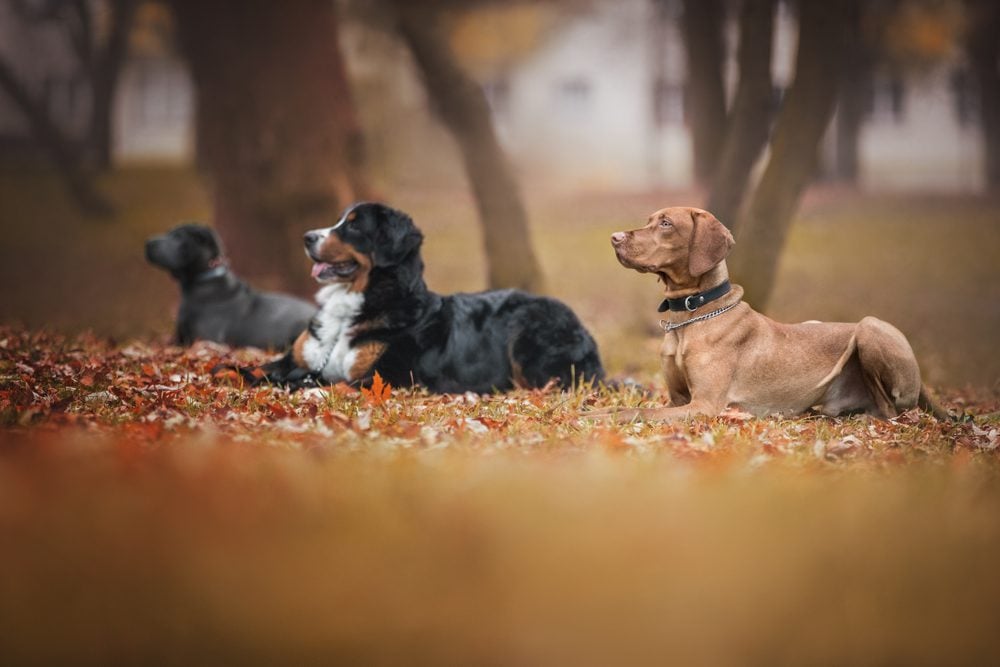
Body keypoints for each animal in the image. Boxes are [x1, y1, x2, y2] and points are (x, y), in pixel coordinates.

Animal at [254, 201, 604, 394]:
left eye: (353, 227)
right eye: (339, 221)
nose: (307, 237)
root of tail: (583, 326)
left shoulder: (386, 376)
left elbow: (324, 383)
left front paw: (300, 388)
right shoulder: (295, 358)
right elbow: (251, 369)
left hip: (528, 334)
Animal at [596, 206, 948, 420]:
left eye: (666, 224)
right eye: (650, 220)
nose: (614, 238)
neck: (691, 317)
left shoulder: (704, 404)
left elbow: (633, 412)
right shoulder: (678, 399)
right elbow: (628, 408)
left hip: (868, 326)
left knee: (890, 410)